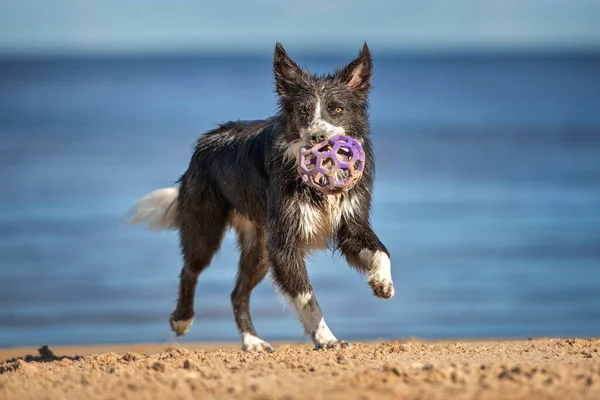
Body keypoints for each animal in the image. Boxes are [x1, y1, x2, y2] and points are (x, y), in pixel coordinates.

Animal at [129, 42, 394, 352]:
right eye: (304, 111)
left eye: (337, 109)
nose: (318, 137)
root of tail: (203, 143)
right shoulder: (284, 242)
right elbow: (307, 297)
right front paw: (326, 338)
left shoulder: (349, 223)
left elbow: (381, 251)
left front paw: (381, 281)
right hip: (205, 225)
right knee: (190, 270)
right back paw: (182, 320)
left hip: (259, 247)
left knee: (237, 292)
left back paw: (252, 341)